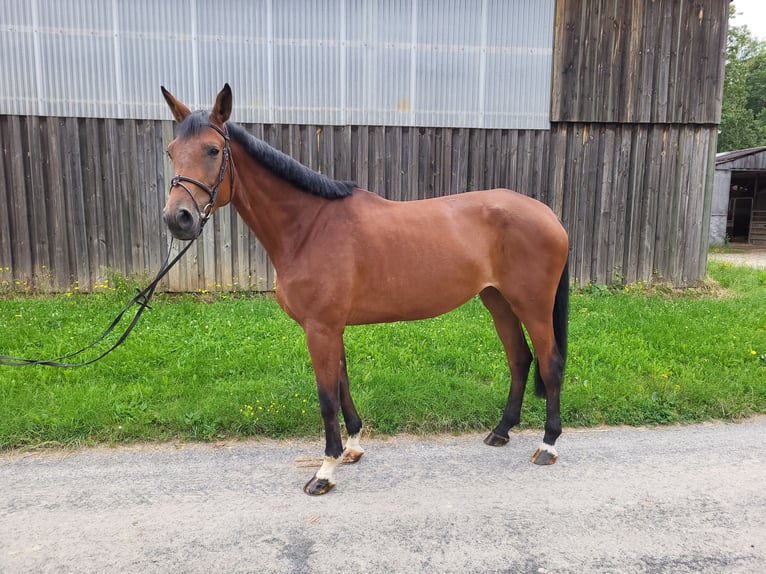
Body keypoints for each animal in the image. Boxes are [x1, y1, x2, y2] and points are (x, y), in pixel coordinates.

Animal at [160, 84, 568, 496]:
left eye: (213, 150)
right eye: (171, 151)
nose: (178, 218)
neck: (310, 227)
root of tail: (548, 214)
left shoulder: (320, 328)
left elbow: (326, 396)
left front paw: (325, 472)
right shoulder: (331, 327)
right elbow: (342, 384)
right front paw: (352, 448)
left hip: (532, 305)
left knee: (549, 363)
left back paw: (548, 445)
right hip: (498, 301)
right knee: (519, 359)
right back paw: (501, 431)